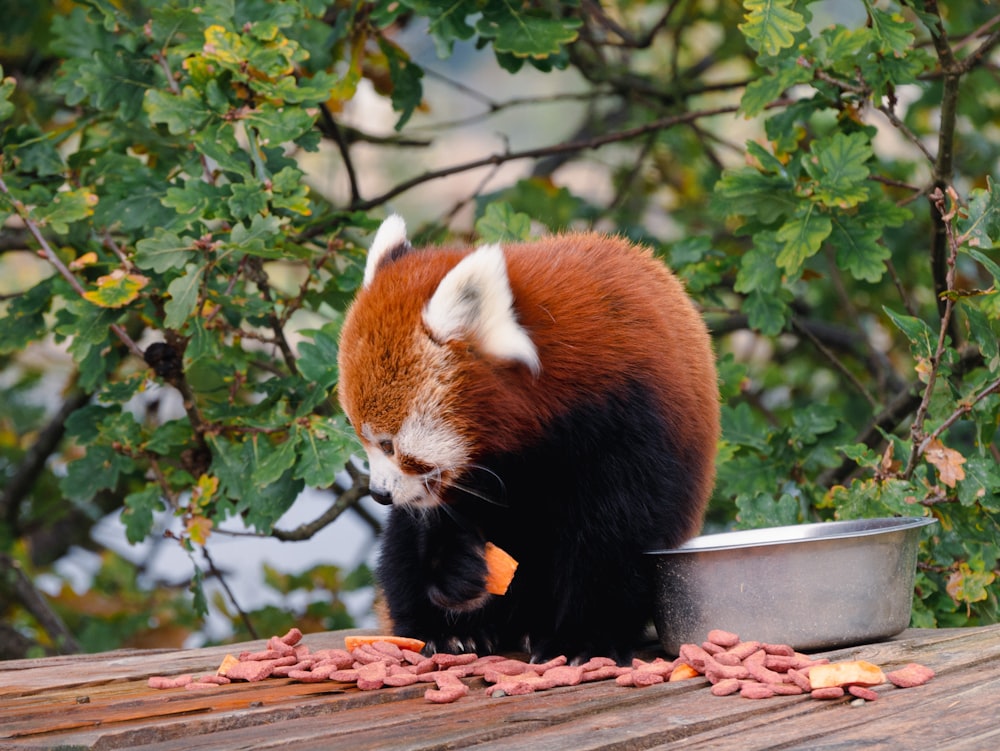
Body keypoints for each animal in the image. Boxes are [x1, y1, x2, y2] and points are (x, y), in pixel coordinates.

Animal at [338, 214, 720, 660]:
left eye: (388, 444)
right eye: (362, 438)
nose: (379, 494)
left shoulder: (631, 418)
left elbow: (617, 534)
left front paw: (584, 638)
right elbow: (442, 518)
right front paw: (457, 574)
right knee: (398, 553)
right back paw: (447, 631)